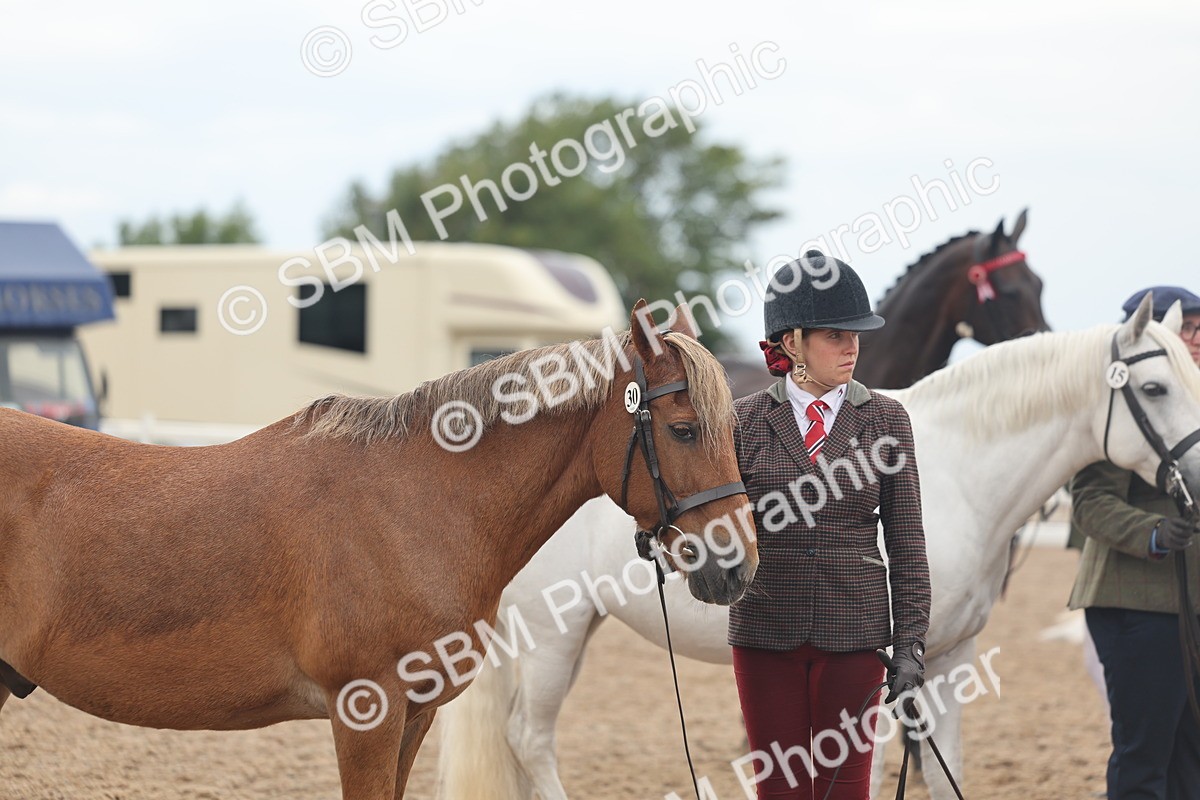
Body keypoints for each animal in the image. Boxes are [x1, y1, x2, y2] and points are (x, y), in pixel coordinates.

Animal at [437, 294, 1200, 800]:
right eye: (1155, 387)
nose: (1196, 482)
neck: (959, 470)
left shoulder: (947, 658)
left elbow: (943, 767)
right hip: (552, 631)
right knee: (529, 740)